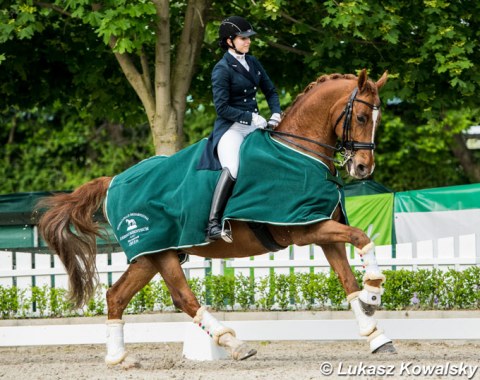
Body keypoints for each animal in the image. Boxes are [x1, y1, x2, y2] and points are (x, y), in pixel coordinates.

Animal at [39, 68, 396, 366]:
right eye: (361, 116)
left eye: (379, 119)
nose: (362, 168)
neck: (300, 153)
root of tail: (114, 180)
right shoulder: (305, 229)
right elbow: (361, 236)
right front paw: (375, 288)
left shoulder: (321, 228)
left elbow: (348, 280)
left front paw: (376, 334)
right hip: (162, 252)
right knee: (183, 297)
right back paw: (233, 344)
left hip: (151, 254)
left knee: (116, 296)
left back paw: (119, 358)